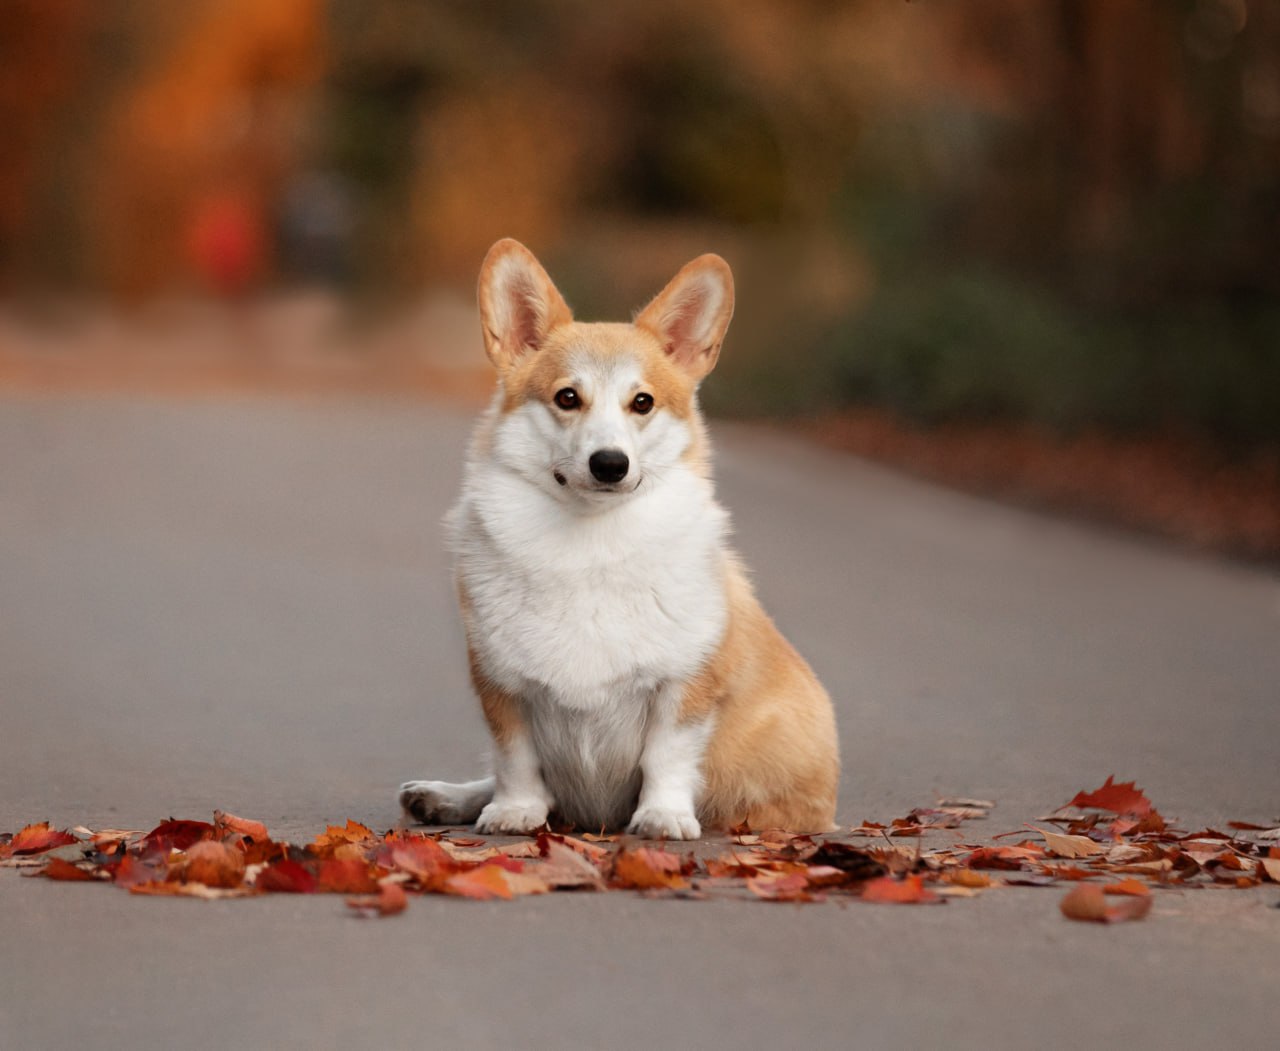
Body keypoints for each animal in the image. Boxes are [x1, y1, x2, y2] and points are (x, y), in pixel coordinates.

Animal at [399, 239, 839, 834]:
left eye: (643, 402)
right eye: (567, 398)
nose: (610, 464)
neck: (590, 540)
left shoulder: (684, 686)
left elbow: (666, 757)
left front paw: (663, 817)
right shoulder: (502, 686)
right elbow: (514, 760)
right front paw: (514, 812)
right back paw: (445, 797)